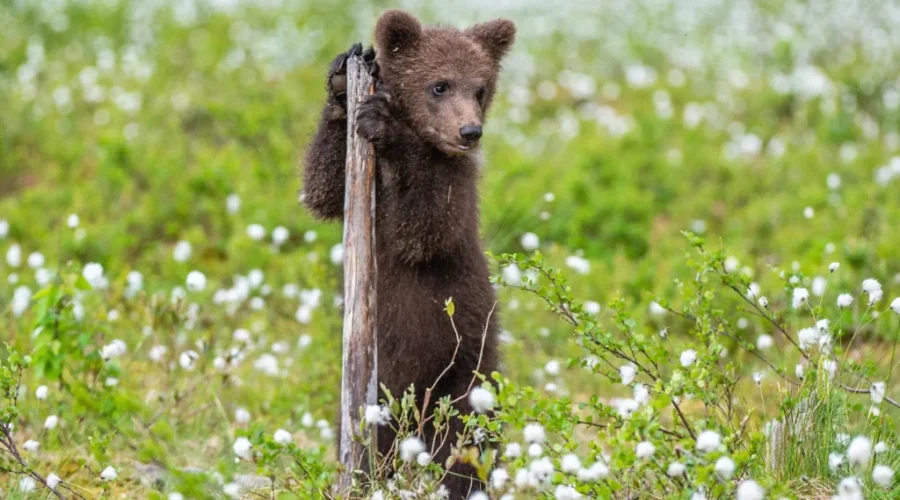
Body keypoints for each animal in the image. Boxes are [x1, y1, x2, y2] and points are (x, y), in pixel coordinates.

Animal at [301, 10, 515, 498]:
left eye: (480, 87)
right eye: (440, 85)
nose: (469, 131)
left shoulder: (456, 186)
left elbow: (424, 227)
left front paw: (387, 126)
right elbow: (322, 187)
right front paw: (341, 81)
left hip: (462, 372)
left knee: (461, 443)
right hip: (377, 395)